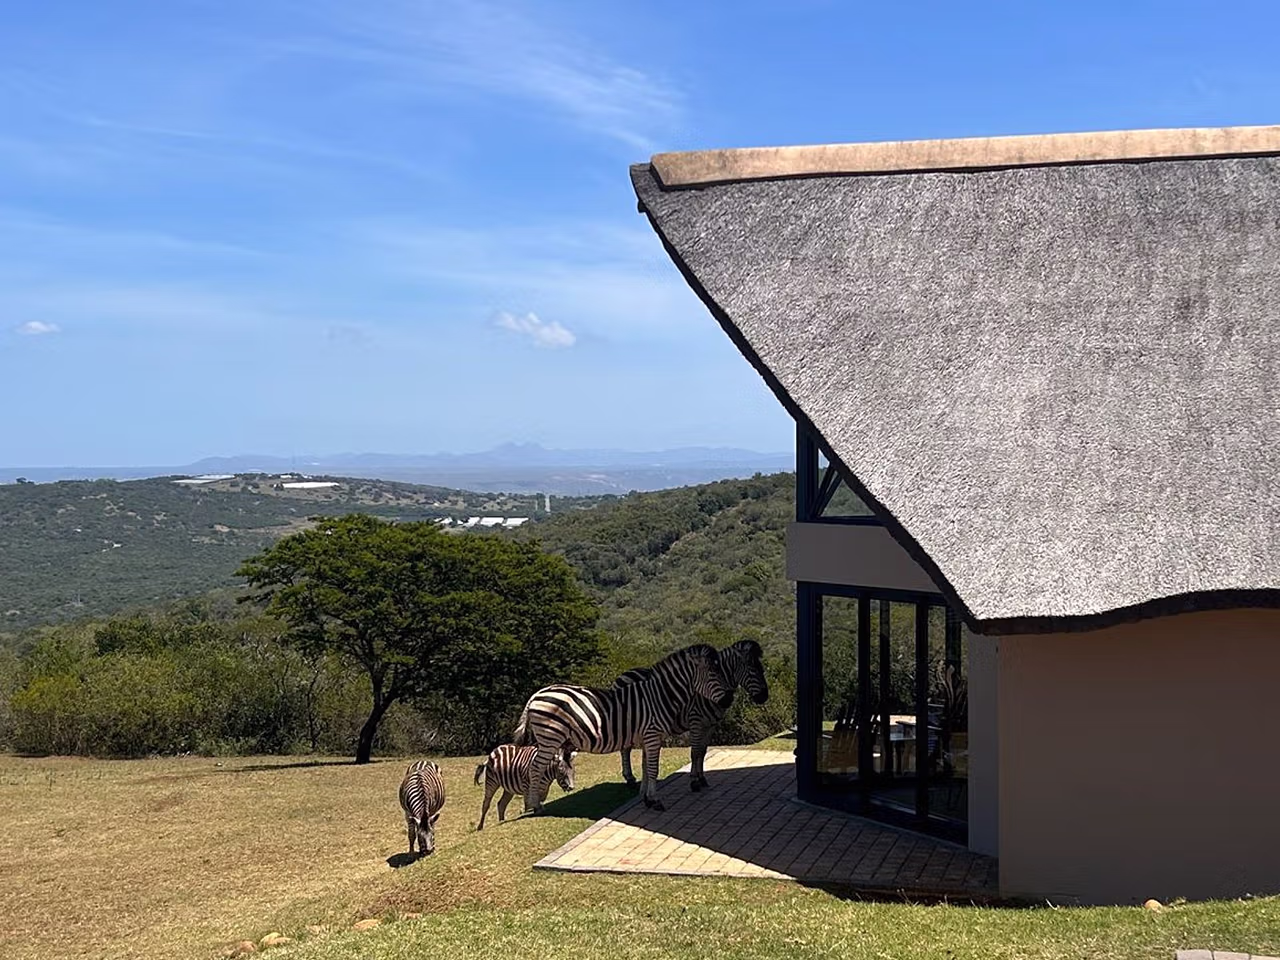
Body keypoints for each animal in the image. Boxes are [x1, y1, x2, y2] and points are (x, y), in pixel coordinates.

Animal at [512, 643, 733, 813]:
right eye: (713, 673)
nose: (729, 700)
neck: (660, 696)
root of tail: (537, 694)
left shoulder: (648, 737)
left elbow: (646, 767)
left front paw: (646, 798)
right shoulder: (653, 735)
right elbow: (653, 769)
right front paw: (656, 801)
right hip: (550, 737)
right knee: (535, 767)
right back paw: (535, 806)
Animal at [615, 638, 769, 793]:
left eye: (761, 668)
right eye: (752, 669)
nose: (764, 697)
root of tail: (624, 673)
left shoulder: (710, 724)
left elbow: (702, 751)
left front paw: (702, 779)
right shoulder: (696, 721)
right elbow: (694, 752)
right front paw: (694, 781)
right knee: (625, 749)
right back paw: (630, 779)